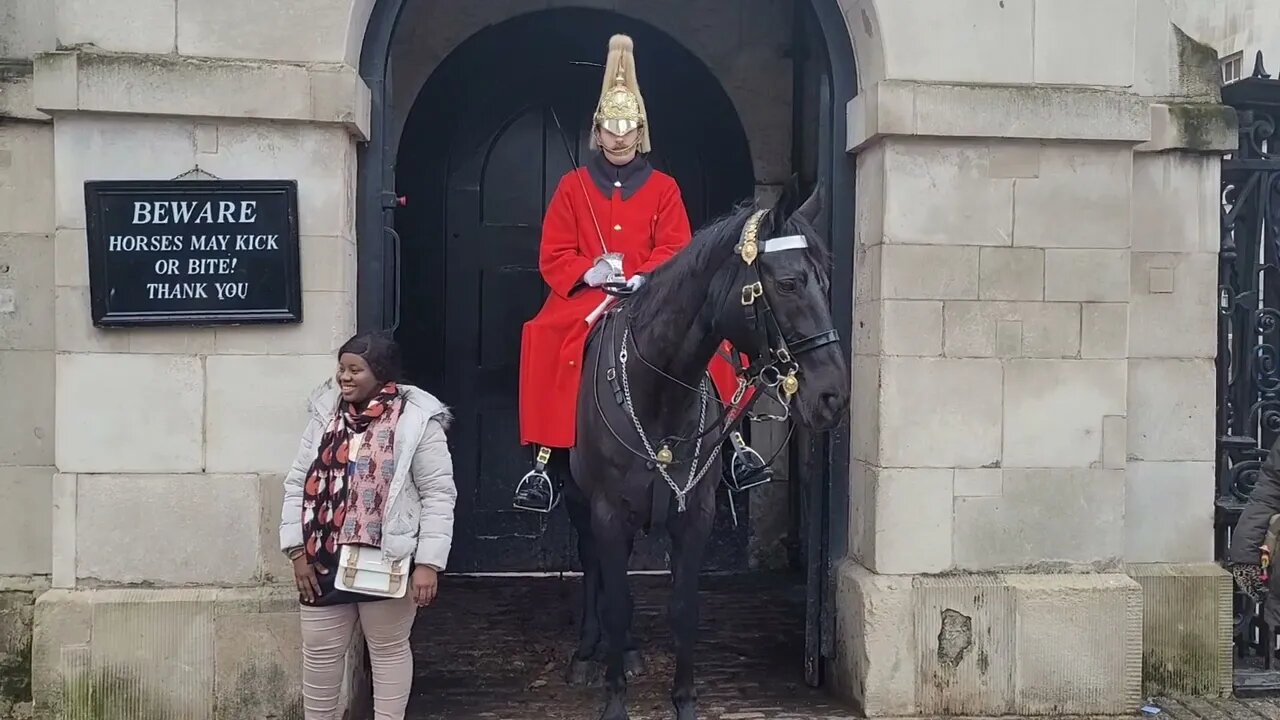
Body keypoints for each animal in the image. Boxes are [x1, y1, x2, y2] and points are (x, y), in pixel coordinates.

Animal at [563, 178, 849, 717]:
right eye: (788, 283)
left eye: (825, 282)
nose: (833, 397)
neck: (659, 393)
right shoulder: (608, 511)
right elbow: (615, 598)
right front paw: (615, 699)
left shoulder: (695, 513)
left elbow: (683, 607)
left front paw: (684, 700)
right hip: (579, 500)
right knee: (594, 567)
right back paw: (589, 650)